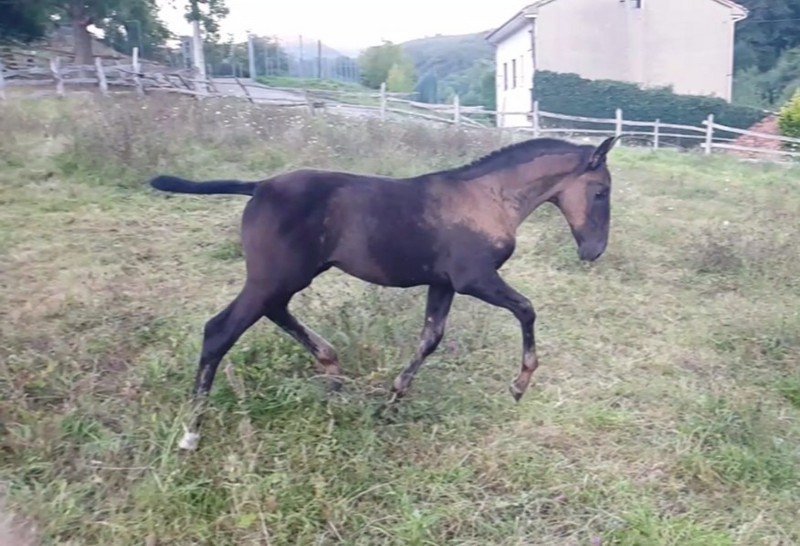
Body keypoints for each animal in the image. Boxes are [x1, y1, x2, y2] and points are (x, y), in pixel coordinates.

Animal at [148, 135, 621, 450]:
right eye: (601, 192)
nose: (593, 251)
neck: (491, 196)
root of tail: (259, 186)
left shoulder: (442, 283)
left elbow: (430, 339)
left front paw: (392, 401)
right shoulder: (474, 278)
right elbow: (527, 309)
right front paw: (520, 384)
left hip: (284, 278)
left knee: (275, 312)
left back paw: (331, 364)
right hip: (273, 277)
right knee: (219, 331)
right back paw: (192, 432)